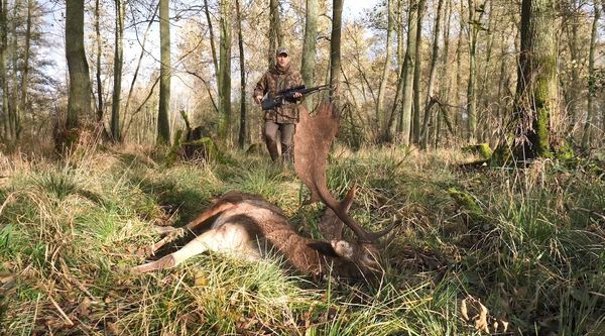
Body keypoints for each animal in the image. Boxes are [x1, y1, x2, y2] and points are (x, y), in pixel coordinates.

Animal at [132, 103, 394, 280]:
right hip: (221, 204)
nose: (389, 275)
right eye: (371, 258)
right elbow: (169, 259)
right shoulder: (221, 232)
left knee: (178, 228)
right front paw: (126, 269)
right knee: (182, 228)